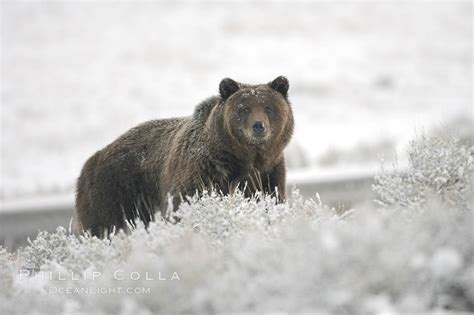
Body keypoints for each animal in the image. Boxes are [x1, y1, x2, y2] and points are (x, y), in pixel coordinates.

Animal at [75, 76, 292, 237]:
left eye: (268, 108)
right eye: (244, 109)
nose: (258, 126)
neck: (244, 157)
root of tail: (90, 161)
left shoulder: (269, 171)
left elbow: (270, 197)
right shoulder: (204, 171)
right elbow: (182, 203)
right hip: (115, 191)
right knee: (106, 225)